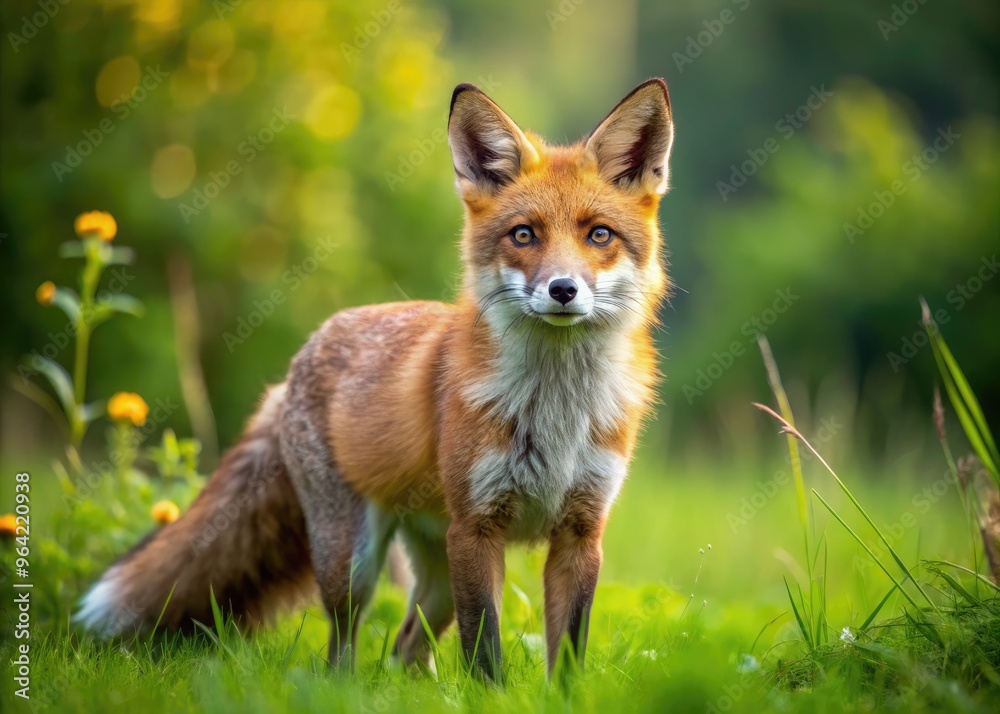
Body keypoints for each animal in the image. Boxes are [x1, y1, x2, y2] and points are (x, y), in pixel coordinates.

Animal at [77, 78, 675, 680]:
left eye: (598, 235)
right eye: (524, 235)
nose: (563, 290)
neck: (556, 411)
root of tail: (298, 362)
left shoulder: (581, 533)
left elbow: (567, 660)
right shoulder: (476, 528)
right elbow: (485, 656)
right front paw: (492, 695)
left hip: (437, 578)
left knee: (406, 646)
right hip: (355, 560)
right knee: (344, 648)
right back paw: (342, 687)